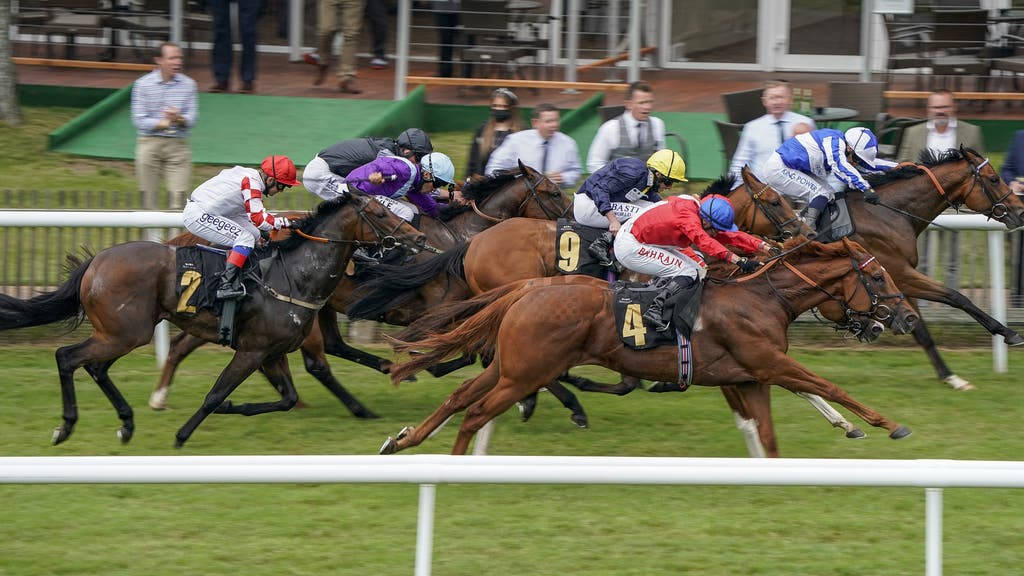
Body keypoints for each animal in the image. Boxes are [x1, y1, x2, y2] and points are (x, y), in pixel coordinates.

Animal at [0, 190, 425, 446]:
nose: (419, 238)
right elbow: (215, 393)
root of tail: (96, 262)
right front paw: (183, 434)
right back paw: (67, 425)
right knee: (67, 357)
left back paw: (126, 422)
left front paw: (234, 408)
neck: (295, 274)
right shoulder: (253, 350)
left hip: (122, 333)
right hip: (125, 333)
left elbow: (286, 398)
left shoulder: (271, 352)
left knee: (95, 367)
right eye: (380, 212)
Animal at [148, 162, 573, 412]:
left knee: (193, 340)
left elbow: (481, 350)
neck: (458, 243)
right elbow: (468, 352)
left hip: (307, 308)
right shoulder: (437, 311)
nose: (574, 220)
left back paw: (161, 394)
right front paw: (557, 394)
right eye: (554, 193)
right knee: (318, 361)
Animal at [382, 235, 913, 455]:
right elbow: (827, 386)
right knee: (475, 412)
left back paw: (402, 440)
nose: (905, 317)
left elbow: (767, 434)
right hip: (526, 371)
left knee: (459, 398)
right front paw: (889, 425)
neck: (761, 297)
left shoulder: (749, 377)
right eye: (878, 277)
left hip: (511, 367)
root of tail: (530, 287)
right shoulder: (768, 363)